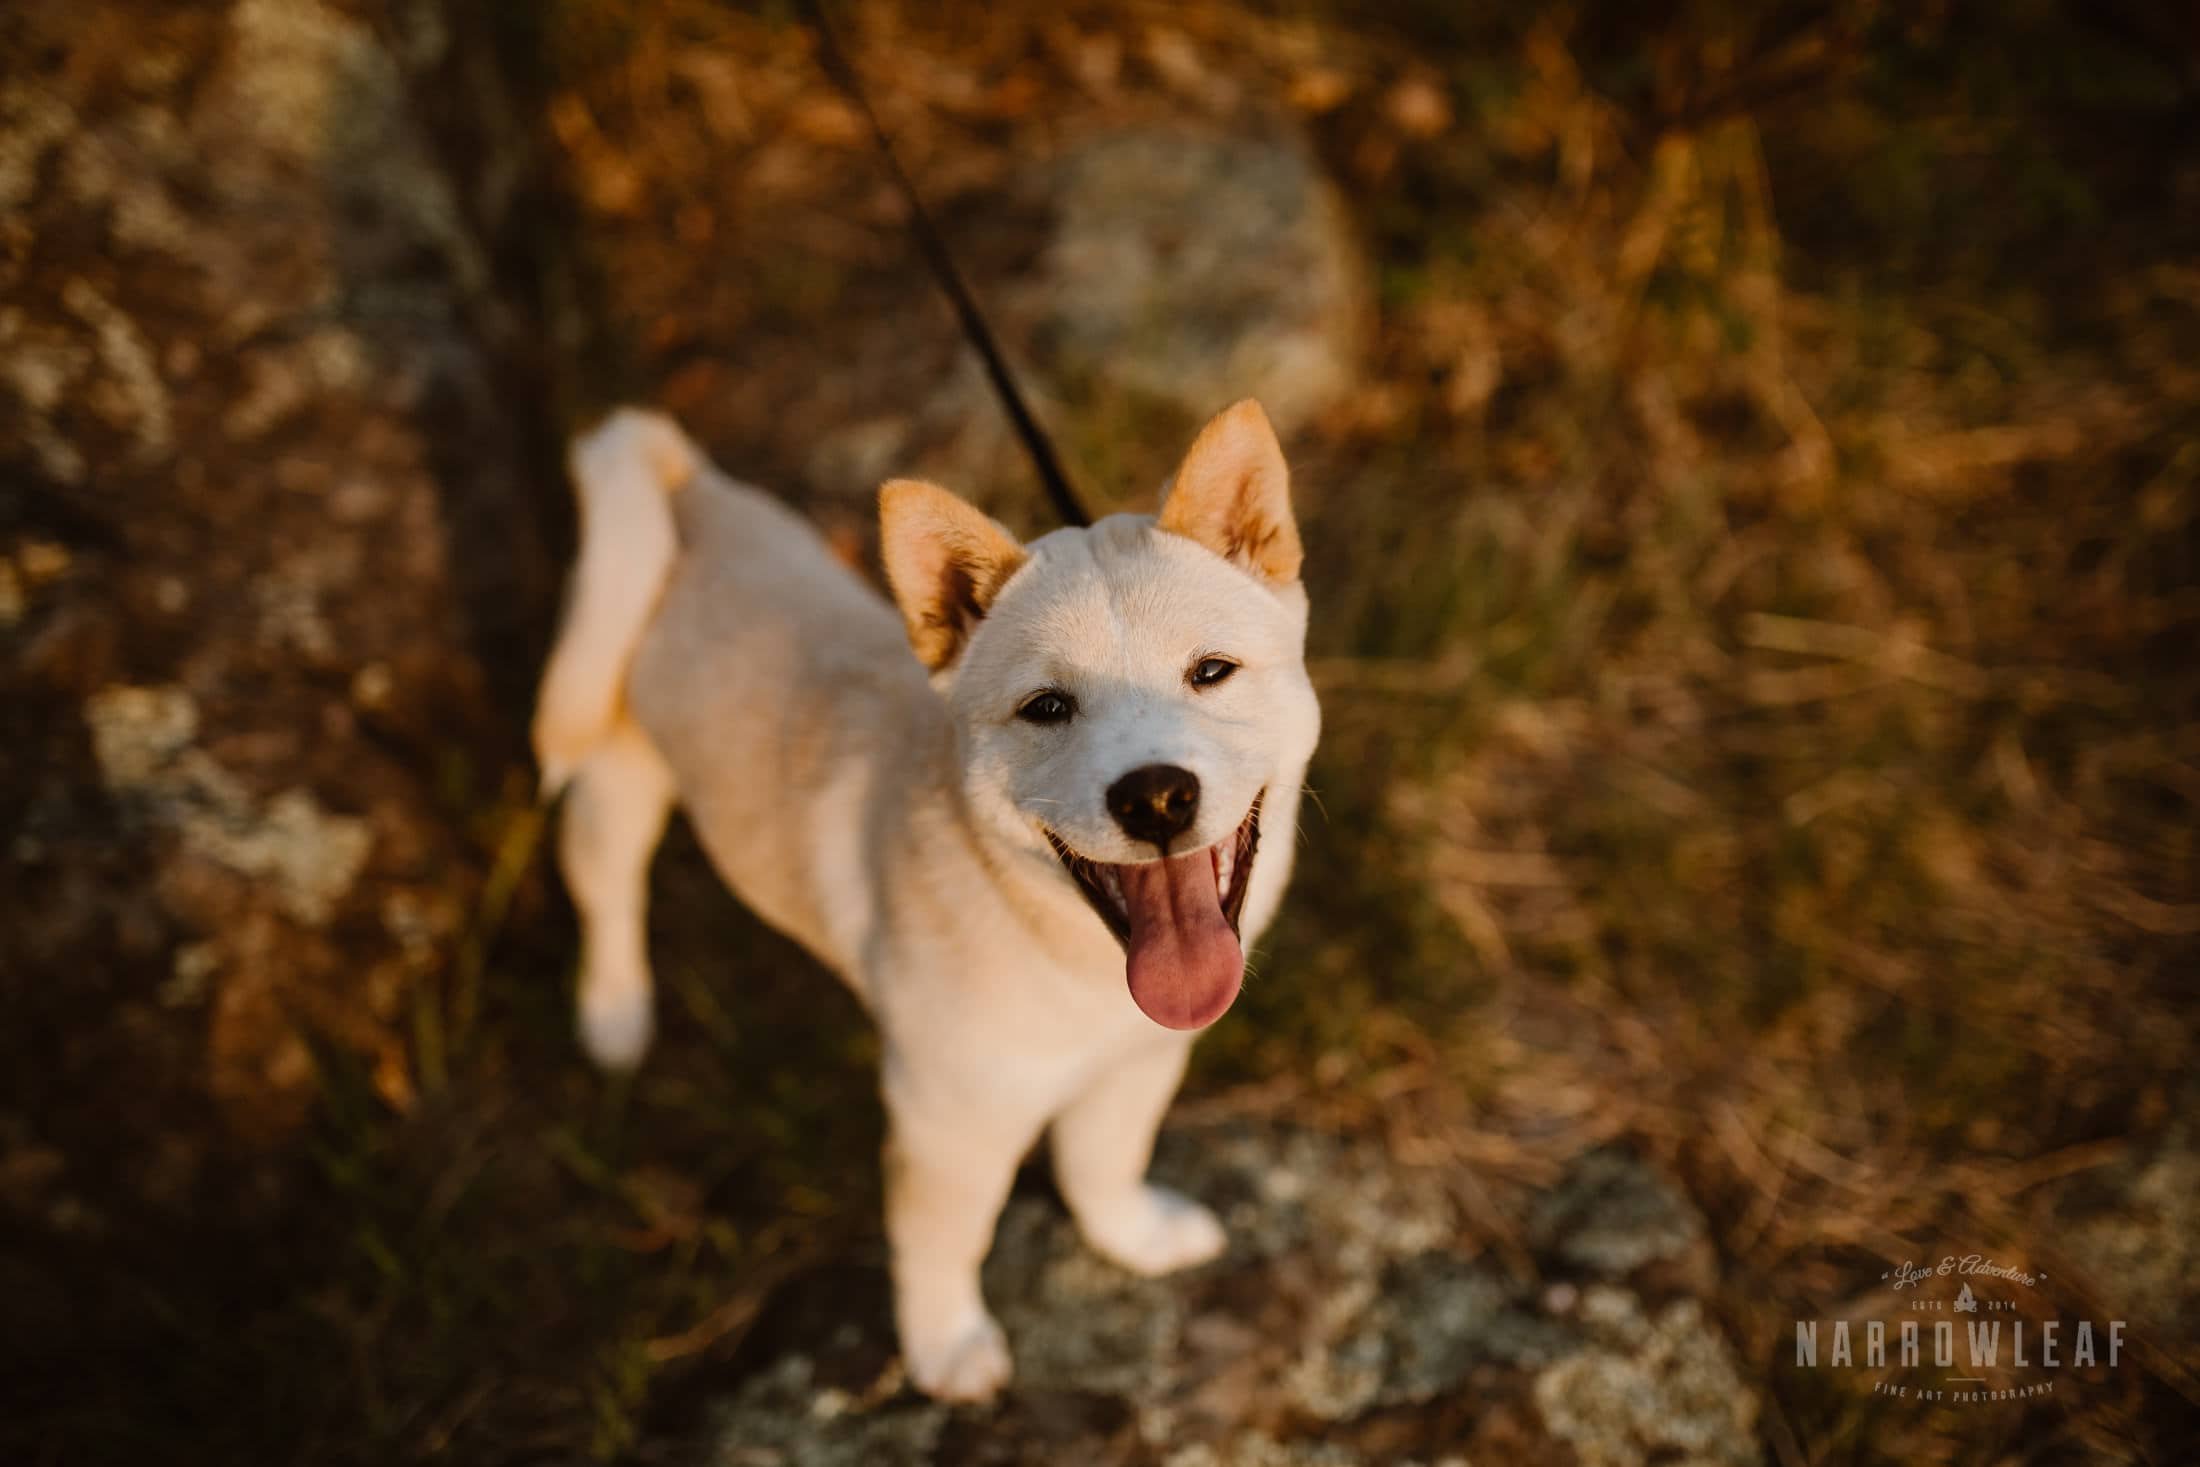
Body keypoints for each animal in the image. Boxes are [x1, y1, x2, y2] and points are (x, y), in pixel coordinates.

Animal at [532, 398, 1320, 1398]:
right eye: (1047, 708)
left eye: (1211, 671)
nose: (1154, 798)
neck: (1068, 957)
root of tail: (682, 486)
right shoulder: (946, 1127)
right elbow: (945, 1243)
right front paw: (945, 1348)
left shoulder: (1137, 1067)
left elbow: (1103, 1163)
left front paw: (1133, 1240)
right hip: (613, 787)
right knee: (607, 898)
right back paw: (614, 1014)